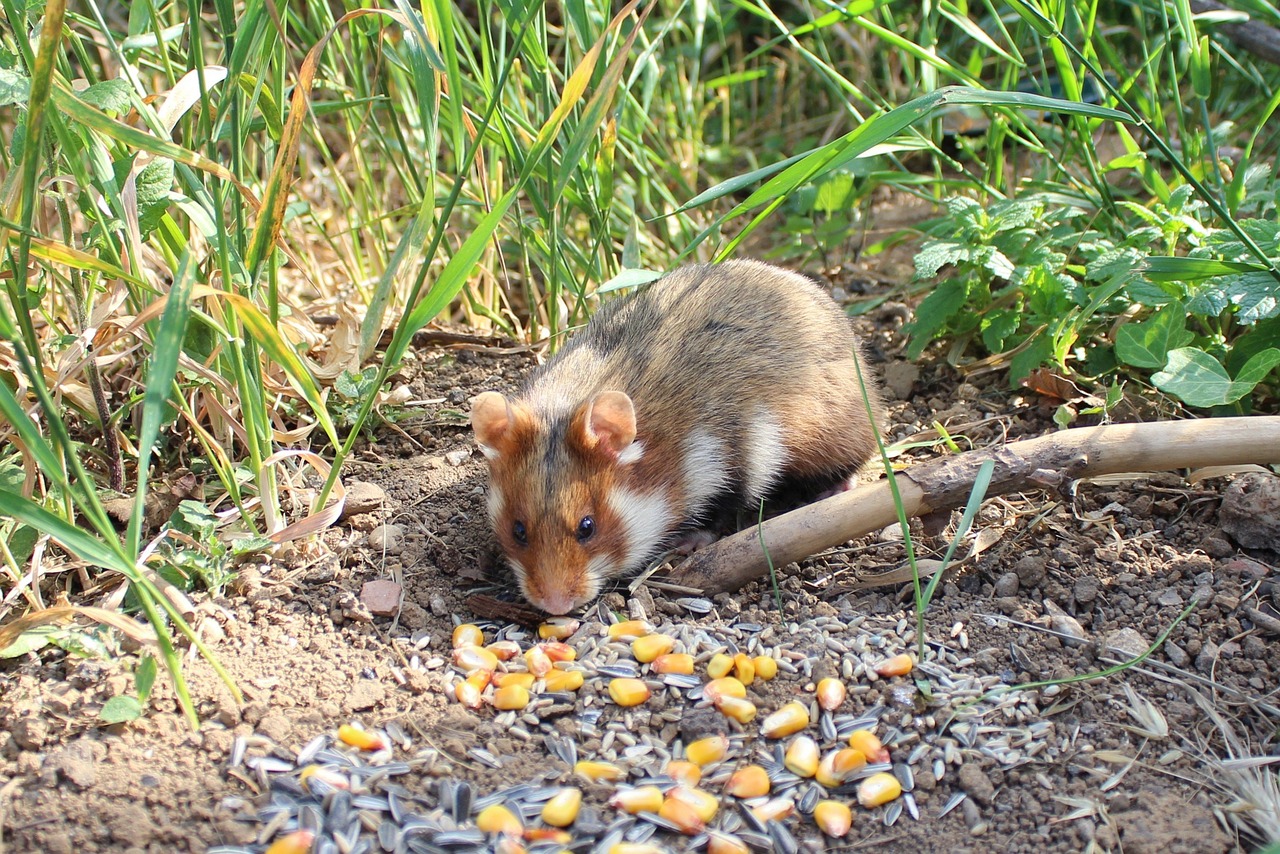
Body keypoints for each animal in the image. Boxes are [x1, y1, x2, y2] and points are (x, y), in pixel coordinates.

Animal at [471, 261, 880, 614]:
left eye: (587, 527)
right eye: (518, 530)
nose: (555, 606)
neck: (659, 458)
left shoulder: (736, 454)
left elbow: (722, 508)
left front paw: (687, 543)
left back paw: (834, 491)